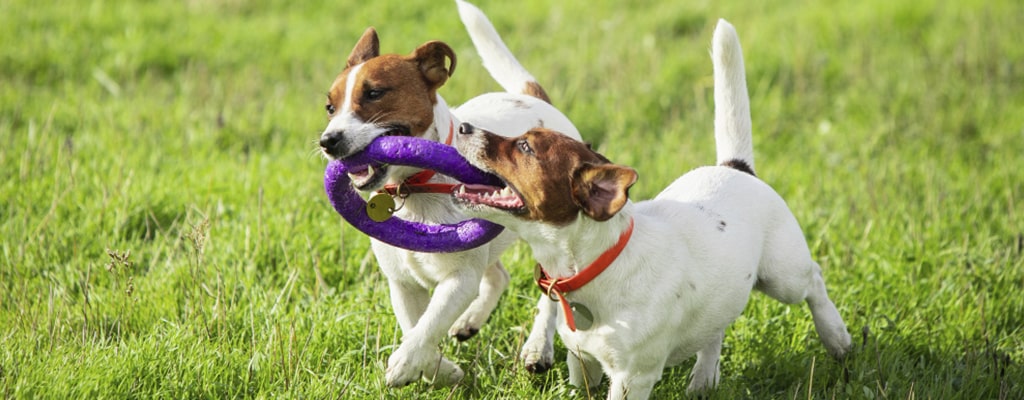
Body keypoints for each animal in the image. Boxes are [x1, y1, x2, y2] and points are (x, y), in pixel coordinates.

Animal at [315, 0, 581, 388]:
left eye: (375, 93)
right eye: (330, 108)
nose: (328, 141)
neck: (414, 188)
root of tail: (533, 98)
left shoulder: (459, 279)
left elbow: (428, 326)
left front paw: (405, 364)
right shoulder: (402, 284)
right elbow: (415, 326)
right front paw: (440, 369)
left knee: (550, 291)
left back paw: (537, 348)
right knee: (498, 276)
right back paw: (470, 321)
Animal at [452, 20, 851, 398]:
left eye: (525, 148)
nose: (464, 126)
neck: (596, 265)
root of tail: (735, 167)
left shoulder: (633, 378)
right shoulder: (583, 361)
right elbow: (582, 382)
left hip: (783, 275)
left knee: (814, 279)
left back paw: (837, 337)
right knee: (716, 328)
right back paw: (704, 379)